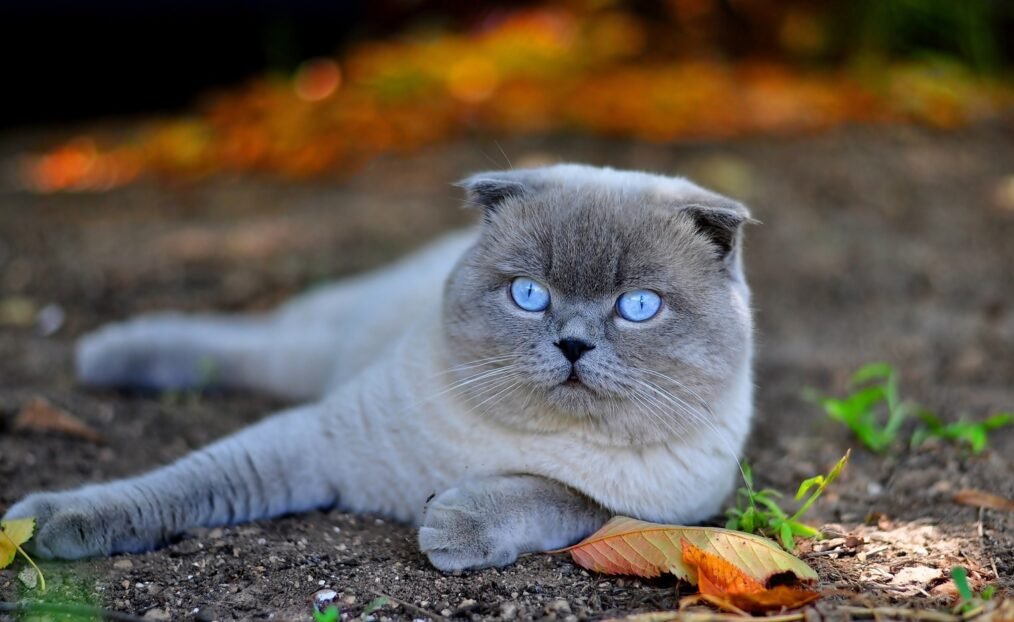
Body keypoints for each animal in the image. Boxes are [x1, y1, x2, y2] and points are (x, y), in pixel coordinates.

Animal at [1, 162, 754, 568]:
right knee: (238, 343)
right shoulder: (314, 441)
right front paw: (41, 527)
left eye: (638, 306)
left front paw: (451, 524)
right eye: (529, 295)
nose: (573, 345)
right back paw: (104, 354)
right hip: (309, 356)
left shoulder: (651, 508)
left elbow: (550, 493)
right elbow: (175, 486)